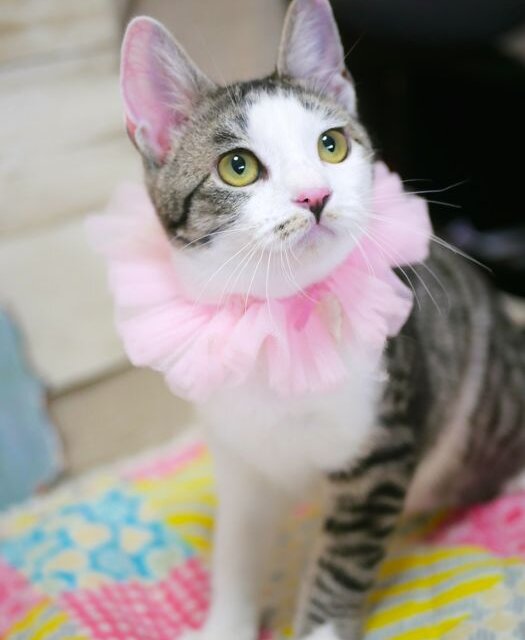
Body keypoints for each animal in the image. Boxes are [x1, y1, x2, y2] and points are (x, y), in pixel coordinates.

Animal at [118, 1, 525, 638]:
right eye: (237, 167)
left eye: (332, 145)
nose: (315, 196)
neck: (278, 322)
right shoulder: (239, 460)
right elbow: (236, 548)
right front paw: (227, 621)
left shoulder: (379, 457)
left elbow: (338, 574)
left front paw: (322, 623)